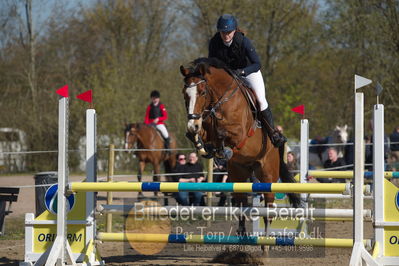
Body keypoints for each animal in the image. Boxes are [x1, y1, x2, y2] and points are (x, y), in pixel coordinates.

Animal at [181, 57, 304, 235]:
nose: (192, 125)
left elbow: (222, 132)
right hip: (238, 173)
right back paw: (241, 232)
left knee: (269, 207)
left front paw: (222, 151)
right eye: (185, 94)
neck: (220, 100)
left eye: (202, 92)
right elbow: (203, 135)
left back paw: (265, 236)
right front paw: (204, 146)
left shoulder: (239, 132)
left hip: (267, 174)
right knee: (241, 203)